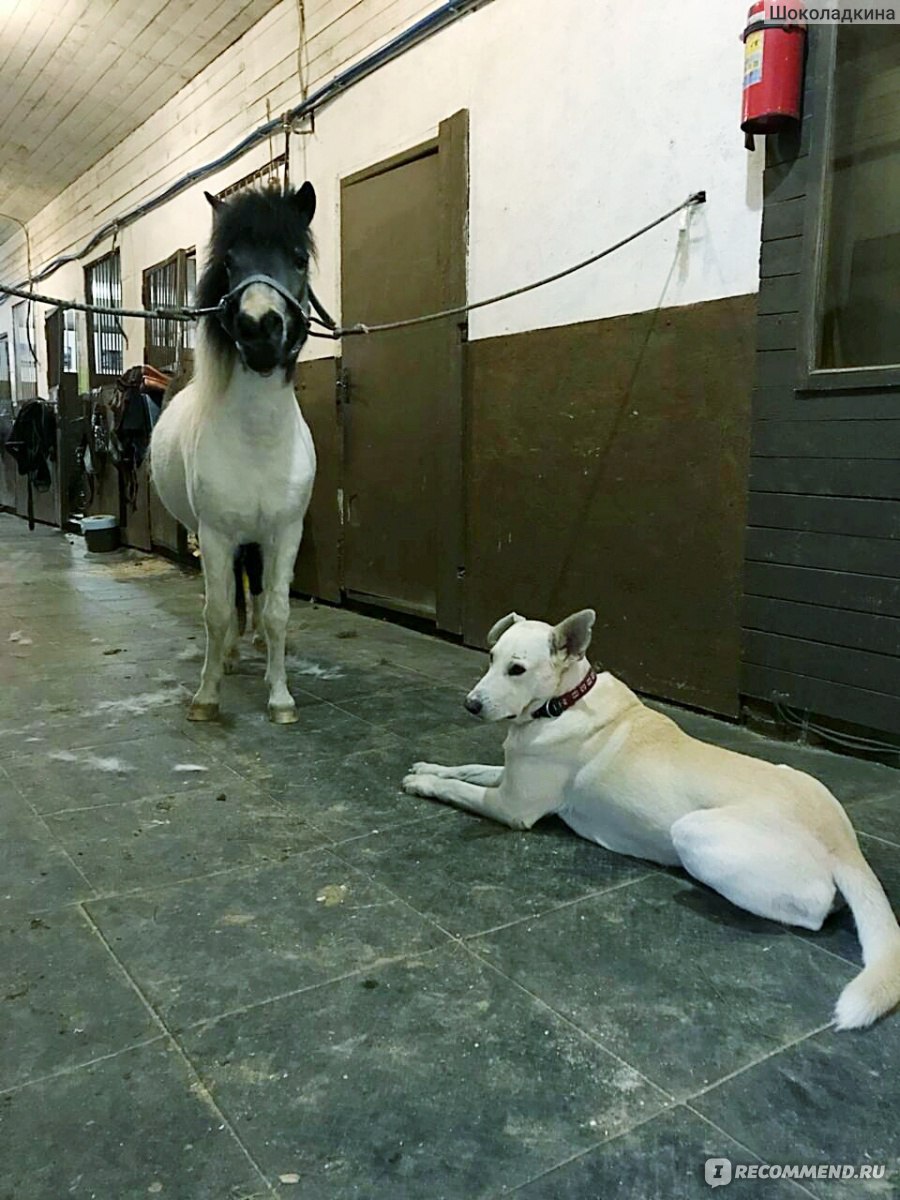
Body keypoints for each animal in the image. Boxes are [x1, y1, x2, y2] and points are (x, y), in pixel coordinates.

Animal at [154, 178, 321, 720]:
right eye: (229, 262)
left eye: (297, 257)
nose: (258, 328)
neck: (258, 441)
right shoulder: (215, 535)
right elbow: (218, 611)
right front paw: (206, 697)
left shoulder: (284, 532)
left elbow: (277, 610)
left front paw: (280, 696)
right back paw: (227, 656)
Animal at [408, 609, 900, 1032]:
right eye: (491, 658)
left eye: (517, 669)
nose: (470, 704)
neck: (564, 701)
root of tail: (844, 844)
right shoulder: (509, 779)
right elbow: (468, 770)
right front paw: (429, 767)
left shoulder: (511, 806)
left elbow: (463, 790)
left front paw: (423, 784)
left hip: (693, 832)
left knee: (812, 912)